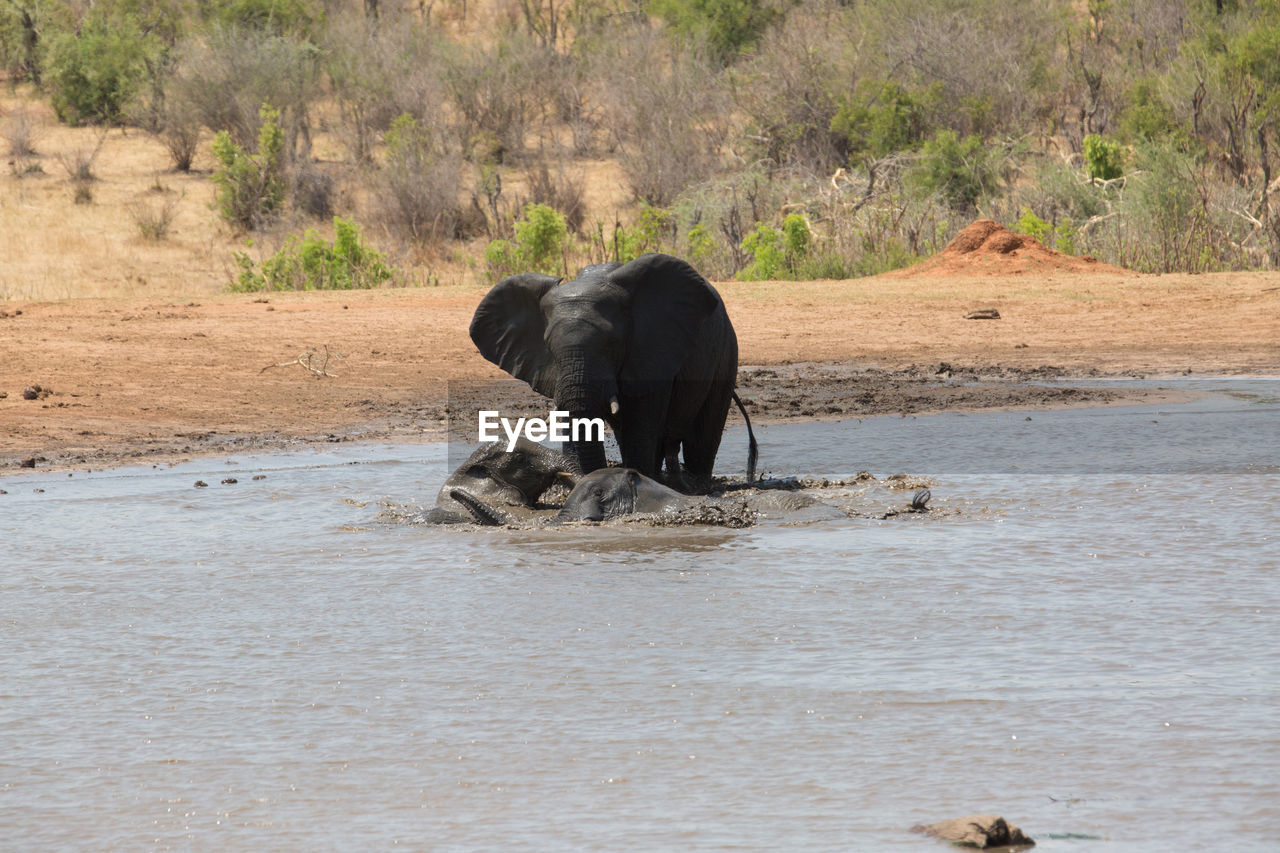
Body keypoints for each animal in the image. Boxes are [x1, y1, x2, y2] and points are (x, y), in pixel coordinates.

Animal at [471, 252, 752, 489]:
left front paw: (640, 479)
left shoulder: (652, 350)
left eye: (612, 343)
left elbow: (641, 426)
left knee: (702, 433)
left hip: (726, 351)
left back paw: (697, 485)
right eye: (549, 346)